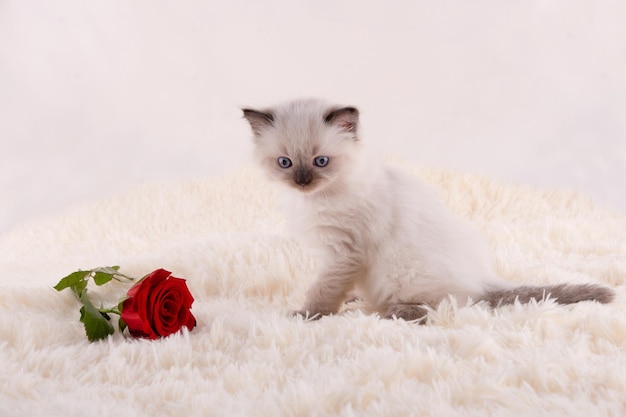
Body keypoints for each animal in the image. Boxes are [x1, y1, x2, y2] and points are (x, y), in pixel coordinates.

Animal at [241, 99, 612, 320]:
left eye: (321, 162)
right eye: (286, 163)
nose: (302, 181)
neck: (316, 199)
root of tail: (485, 278)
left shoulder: (343, 255)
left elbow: (322, 292)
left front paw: (306, 315)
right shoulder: (337, 258)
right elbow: (332, 288)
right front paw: (338, 302)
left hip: (402, 275)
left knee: (447, 306)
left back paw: (388, 312)